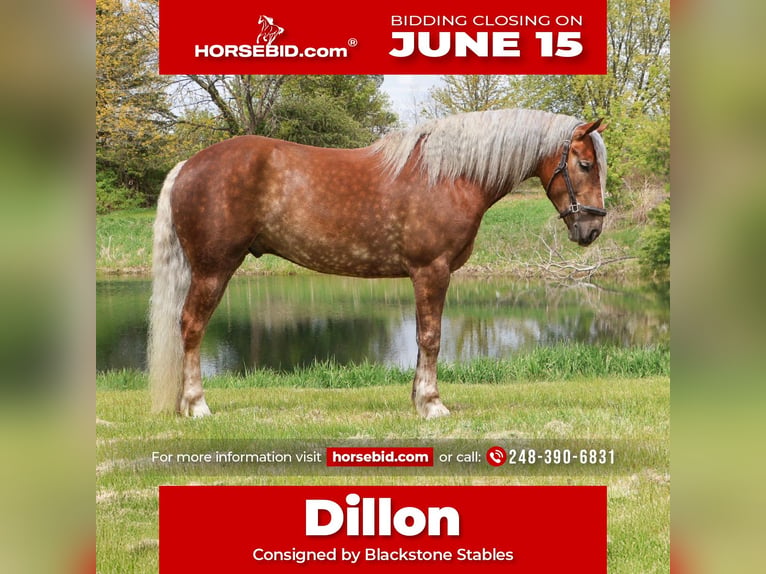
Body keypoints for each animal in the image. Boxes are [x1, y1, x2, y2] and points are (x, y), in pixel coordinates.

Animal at [148, 108, 607, 419]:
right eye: (584, 164)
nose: (592, 229)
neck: (449, 176)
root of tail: (187, 165)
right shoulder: (431, 271)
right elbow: (431, 338)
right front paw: (432, 405)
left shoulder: (423, 276)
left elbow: (423, 339)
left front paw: (417, 400)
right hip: (213, 270)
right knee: (191, 326)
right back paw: (197, 405)